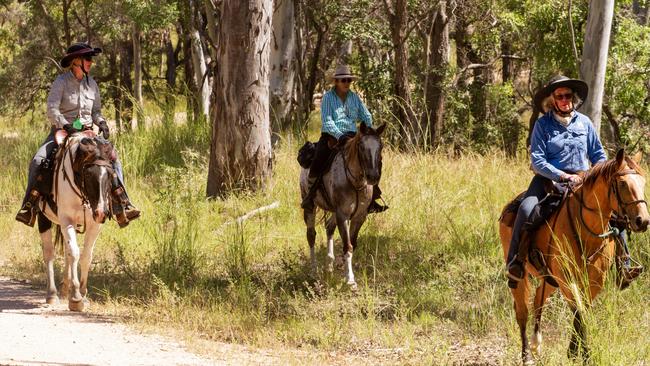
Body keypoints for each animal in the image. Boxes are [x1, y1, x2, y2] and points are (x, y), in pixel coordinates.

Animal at [36, 130, 114, 310]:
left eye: (110, 174)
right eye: (88, 174)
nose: (102, 212)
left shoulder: (94, 225)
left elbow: (85, 256)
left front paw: (82, 294)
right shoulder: (66, 220)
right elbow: (75, 253)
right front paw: (76, 297)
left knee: (67, 252)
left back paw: (66, 288)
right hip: (43, 219)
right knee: (49, 253)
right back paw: (52, 294)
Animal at [300, 124, 384, 288]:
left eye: (381, 146)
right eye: (361, 147)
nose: (373, 177)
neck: (355, 182)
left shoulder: (359, 217)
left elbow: (352, 244)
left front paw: (343, 268)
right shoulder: (343, 216)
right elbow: (348, 246)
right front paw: (350, 279)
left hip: (333, 211)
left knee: (329, 227)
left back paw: (329, 265)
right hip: (310, 206)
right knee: (311, 235)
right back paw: (313, 271)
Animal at [498, 149, 644, 366]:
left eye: (643, 182)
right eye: (623, 184)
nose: (643, 221)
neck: (587, 229)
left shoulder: (594, 281)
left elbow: (582, 312)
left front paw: (574, 352)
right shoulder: (567, 278)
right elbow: (580, 312)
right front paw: (584, 355)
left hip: (550, 279)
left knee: (538, 299)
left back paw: (536, 344)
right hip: (521, 275)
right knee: (522, 311)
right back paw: (527, 356)